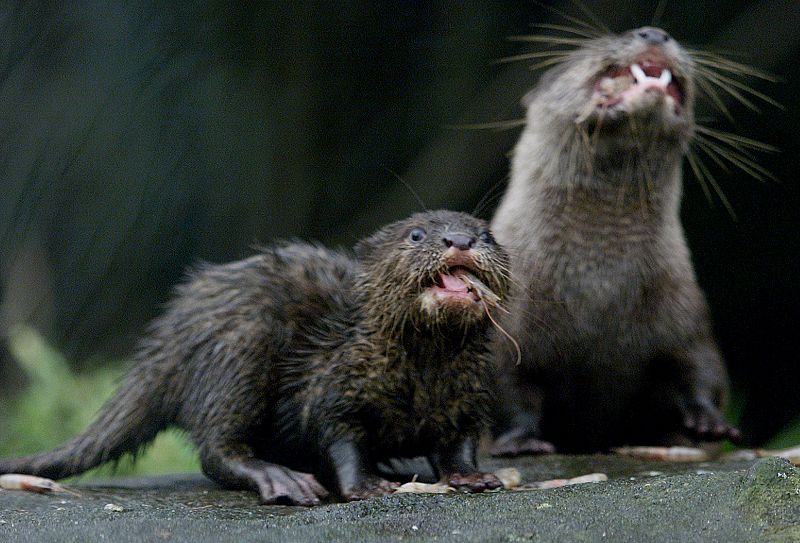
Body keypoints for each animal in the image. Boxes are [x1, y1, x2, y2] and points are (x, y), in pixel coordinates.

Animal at [0, 211, 510, 506]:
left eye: (487, 233)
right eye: (417, 234)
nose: (461, 240)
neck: (420, 379)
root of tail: (167, 339)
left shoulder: (470, 395)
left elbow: (460, 442)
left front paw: (475, 476)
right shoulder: (332, 384)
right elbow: (337, 435)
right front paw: (364, 485)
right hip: (239, 351)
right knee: (217, 448)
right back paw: (282, 478)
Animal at [490, 27, 740, 456]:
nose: (654, 32)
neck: (598, 281)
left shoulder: (685, 310)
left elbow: (700, 368)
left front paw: (710, 423)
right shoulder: (507, 327)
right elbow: (507, 390)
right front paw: (520, 441)